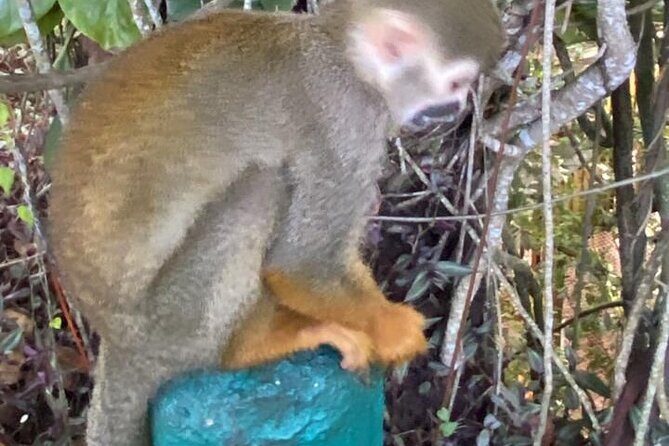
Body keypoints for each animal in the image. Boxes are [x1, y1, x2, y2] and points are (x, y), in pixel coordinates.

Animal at [47, 1, 504, 444]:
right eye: (456, 84)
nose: (461, 108)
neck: (342, 54)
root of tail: (120, 345)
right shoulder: (347, 123)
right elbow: (301, 263)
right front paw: (391, 328)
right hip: (168, 323)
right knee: (262, 188)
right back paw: (249, 346)